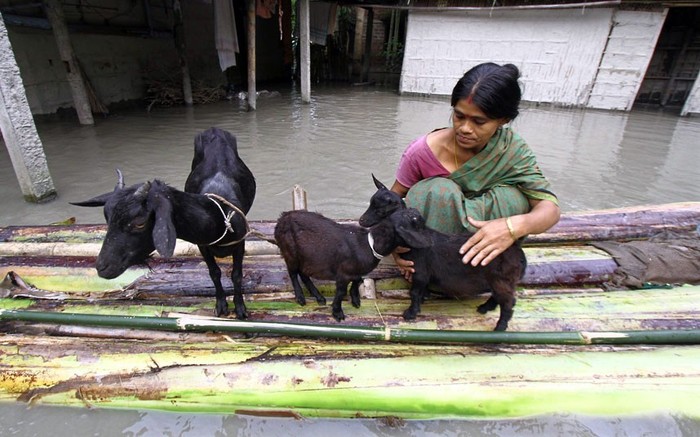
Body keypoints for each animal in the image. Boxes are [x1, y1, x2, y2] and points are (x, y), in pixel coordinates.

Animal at [71, 126, 256, 316]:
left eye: (140, 222)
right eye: (107, 217)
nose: (102, 267)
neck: (219, 215)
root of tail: (214, 129)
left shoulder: (239, 244)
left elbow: (236, 275)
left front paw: (240, 308)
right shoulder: (202, 246)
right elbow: (214, 272)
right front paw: (221, 305)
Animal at [274, 208, 430, 320]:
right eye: (415, 222)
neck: (369, 244)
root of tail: (281, 218)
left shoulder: (355, 271)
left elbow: (358, 280)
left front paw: (355, 300)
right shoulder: (343, 273)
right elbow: (341, 291)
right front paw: (337, 313)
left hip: (307, 258)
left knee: (303, 274)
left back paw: (319, 298)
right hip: (290, 251)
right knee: (293, 273)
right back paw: (301, 298)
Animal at [360, 175, 524, 328]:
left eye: (380, 211)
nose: (361, 221)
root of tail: (516, 250)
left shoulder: (420, 273)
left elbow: (414, 292)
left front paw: (411, 313)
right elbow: (420, 291)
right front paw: (422, 301)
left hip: (501, 280)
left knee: (508, 302)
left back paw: (500, 326)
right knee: (498, 297)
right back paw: (484, 308)